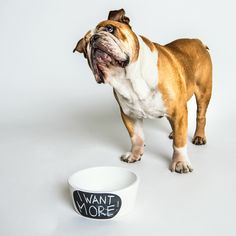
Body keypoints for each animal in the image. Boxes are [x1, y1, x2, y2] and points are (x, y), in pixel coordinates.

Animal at [74, 8, 212, 173]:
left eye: (109, 29)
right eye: (85, 47)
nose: (94, 39)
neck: (129, 77)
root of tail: (197, 41)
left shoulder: (178, 110)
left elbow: (179, 143)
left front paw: (180, 162)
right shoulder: (129, 115)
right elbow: (136, 137)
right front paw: (135, 154)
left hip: (203, 93)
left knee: (200, 116)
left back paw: (199, 137)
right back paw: (174, 132)